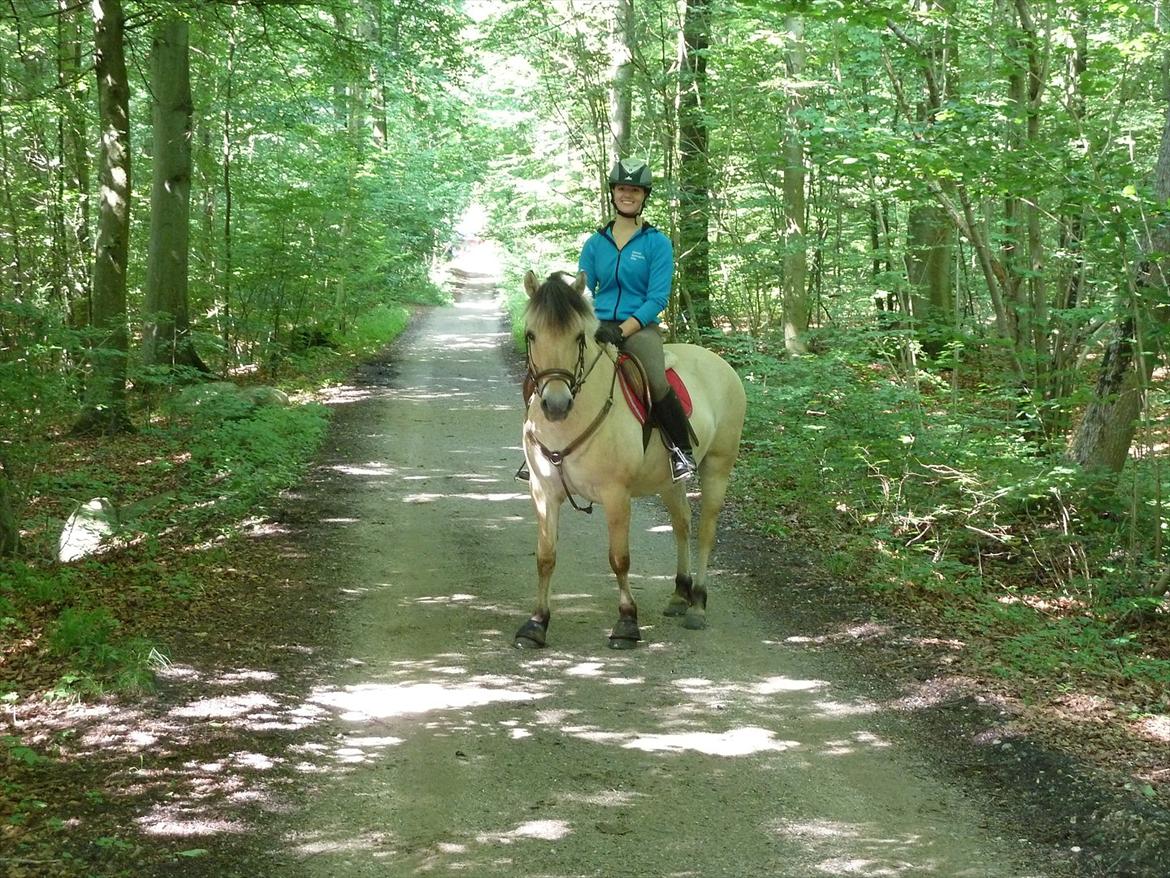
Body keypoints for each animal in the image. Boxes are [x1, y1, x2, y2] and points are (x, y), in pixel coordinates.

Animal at [517, 271, 744, 650]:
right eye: (531, 334)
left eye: (578, 336)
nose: (556, 405)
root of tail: (719, 362)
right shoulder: (543, 492)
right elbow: (545, 557)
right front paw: (536, 624)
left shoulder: (615, 495)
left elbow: (619, 559)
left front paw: (626, 622)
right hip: (668, 480)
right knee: (682, 524)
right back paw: (680, 594)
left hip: (718, 466)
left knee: (705, 532)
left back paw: (697, 602)